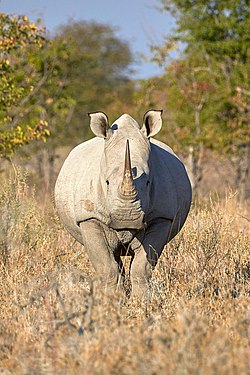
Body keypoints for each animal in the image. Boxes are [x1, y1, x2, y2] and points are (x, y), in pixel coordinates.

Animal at [54, 110, 191, 298]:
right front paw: (112, 300)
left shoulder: (162, 217)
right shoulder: (89, 217)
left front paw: (140, 301)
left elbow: (142, 267)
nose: (127, 220)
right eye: (106, 182)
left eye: (148, 182)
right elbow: (106, 266)